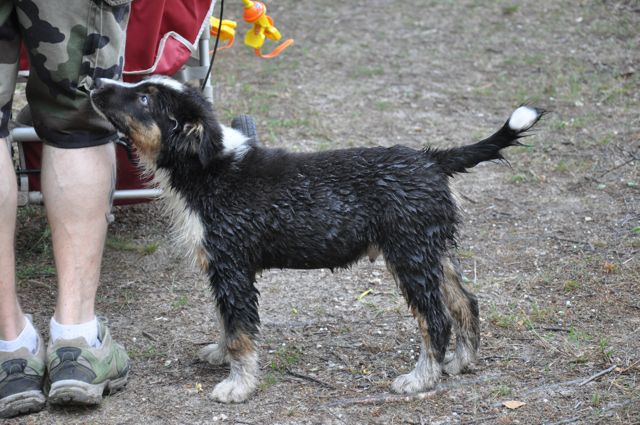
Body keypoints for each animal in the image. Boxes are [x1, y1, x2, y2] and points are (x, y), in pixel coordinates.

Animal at [90, 75, 540, 400]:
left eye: (144, 100)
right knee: (466, 301)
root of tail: (431, 159)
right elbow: (227, 322)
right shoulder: (223, 270)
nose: (94, 84)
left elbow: (240, 331)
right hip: (432, 250)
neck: (211, 168)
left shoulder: (232, 266)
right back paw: (462, 362)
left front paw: (238, 386)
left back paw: (421, 378)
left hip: (410, 255)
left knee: (436, 318)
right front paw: (219, 354)